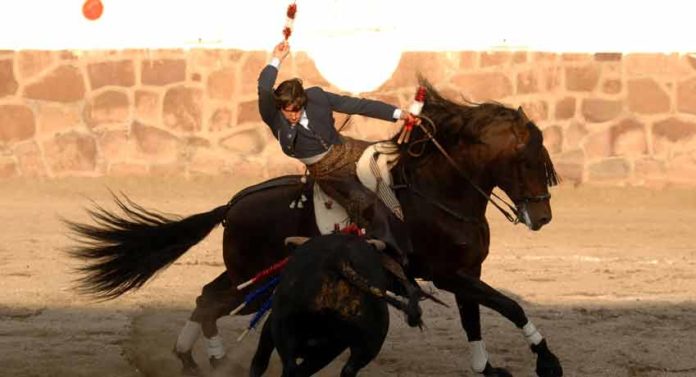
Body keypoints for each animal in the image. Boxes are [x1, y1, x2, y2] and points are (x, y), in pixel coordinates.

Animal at [68, 80, 564, 376]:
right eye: (528, 159)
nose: (542, 218)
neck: (438, 192)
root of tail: (233, 203)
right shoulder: (448, 275)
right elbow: (510, 306)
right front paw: (547, 360)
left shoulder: (467, 274)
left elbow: (475, 319)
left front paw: (488, 367)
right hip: (251, 274)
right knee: (213, 301)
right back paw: (206, 357)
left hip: (247, 272)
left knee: (207, 297)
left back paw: (195, 357)